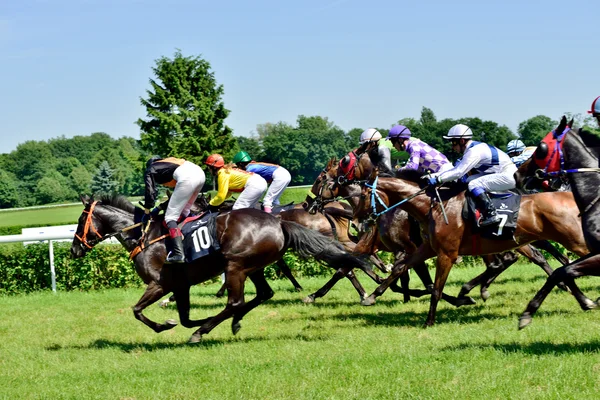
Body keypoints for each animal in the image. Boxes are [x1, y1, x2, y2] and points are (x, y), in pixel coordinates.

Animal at [70, 193, 370, 340]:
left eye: (80, 220)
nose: (74, 250)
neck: (143, 235)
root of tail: (279, 221)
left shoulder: (160, 284)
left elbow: (137, 311)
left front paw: (166, 326)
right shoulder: (181, 285)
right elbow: (184, 317)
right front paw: (185, 321)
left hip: (235, 265)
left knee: (236, 302)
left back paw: (203, 332)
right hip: (253, 267)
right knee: (262, 294)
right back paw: (231, 323)